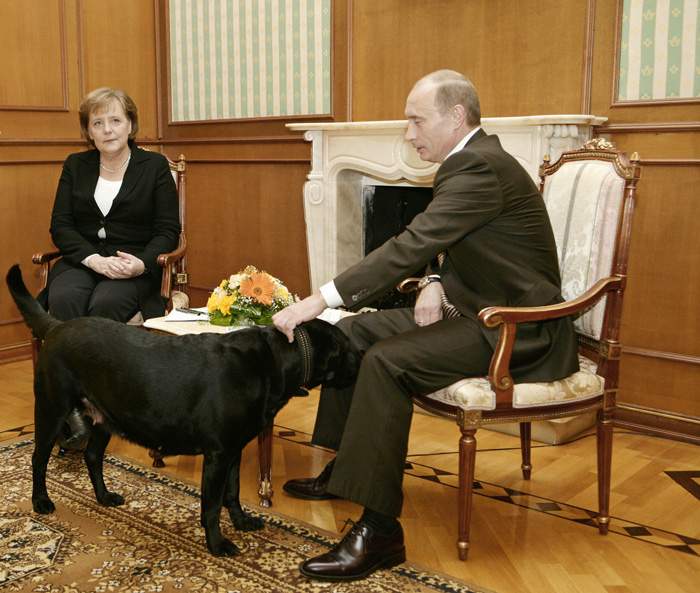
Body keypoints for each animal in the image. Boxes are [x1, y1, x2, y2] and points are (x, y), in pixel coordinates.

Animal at [6, 264, 360, 556]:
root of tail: (56, 326)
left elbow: (232, 493)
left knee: (92, 457)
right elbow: (212, 506)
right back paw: (41, 501)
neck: (272, 362)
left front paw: (242, 522)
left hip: (105, 417)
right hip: (52, 409)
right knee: (38, 458)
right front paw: (217, 544)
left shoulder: (233, 450)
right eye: (348, 349)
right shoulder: (218, 454)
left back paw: (104, 497)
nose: (362, 358)